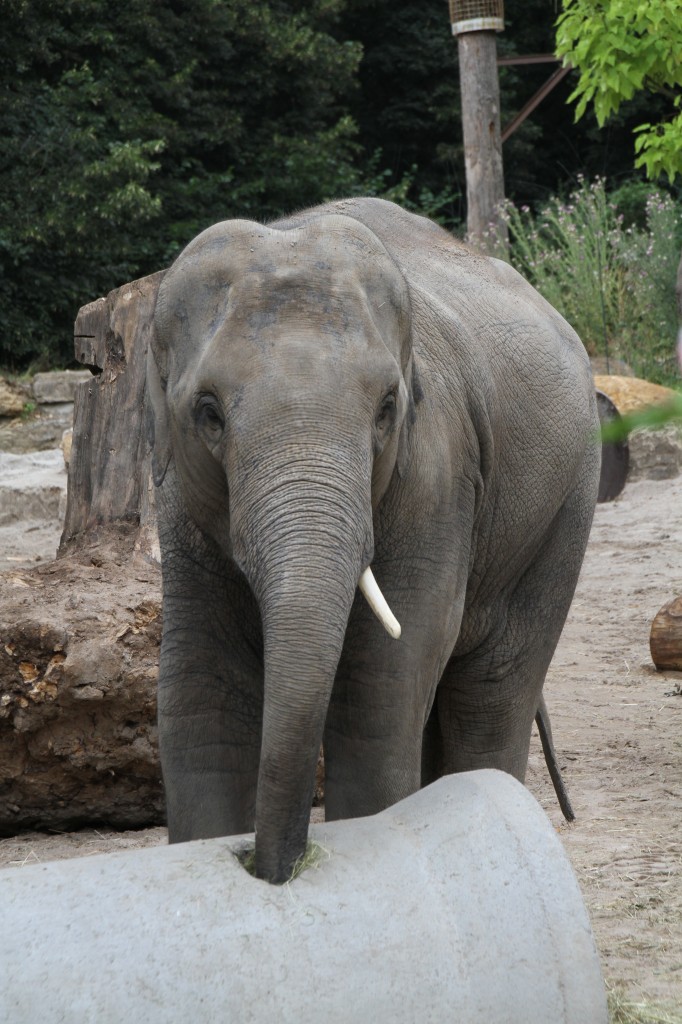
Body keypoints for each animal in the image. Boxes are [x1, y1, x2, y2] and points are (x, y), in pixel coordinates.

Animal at [147, 197, 593, 880]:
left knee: (494, 689)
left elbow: (381, 688)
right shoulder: (180, 506)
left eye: (386, 408)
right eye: (209, 413)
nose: (272, 868)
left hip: (567, 502)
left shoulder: (437, 473)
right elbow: (201, 696)